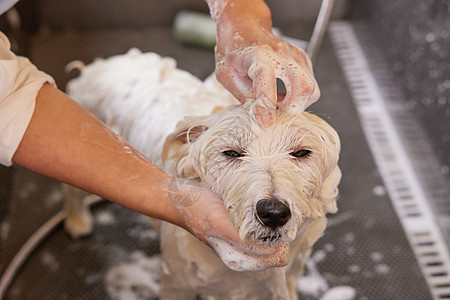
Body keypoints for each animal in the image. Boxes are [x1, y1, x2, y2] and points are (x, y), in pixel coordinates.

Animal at [64, 49, 342, 300]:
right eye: (231, 153)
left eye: (301, 152)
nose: (273, 212)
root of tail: (103, 64)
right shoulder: (177, 285)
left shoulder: (293, 270)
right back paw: (77, 220)